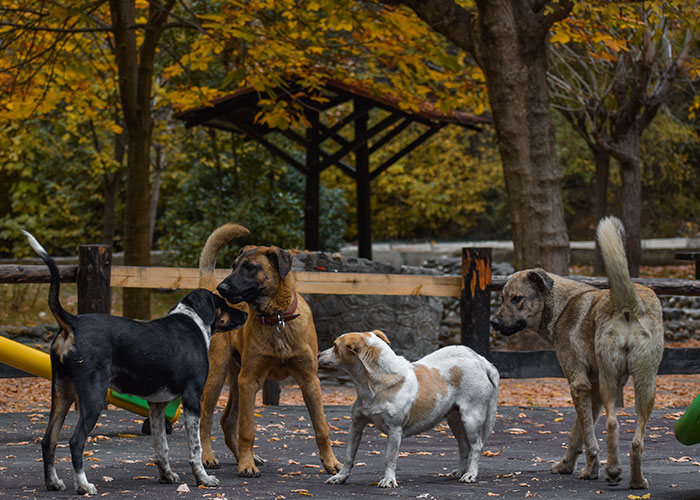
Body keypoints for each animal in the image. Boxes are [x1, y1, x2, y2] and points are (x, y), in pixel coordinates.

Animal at [24, 231, 247, 496]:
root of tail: (73, 322)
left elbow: (161, 447)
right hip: (93, 397)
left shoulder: (157, 404)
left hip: (61, 394)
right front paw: (203, 478)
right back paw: (83, 486)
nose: (245, 314)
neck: (193, 322)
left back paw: (53, 482)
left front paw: (166, 475)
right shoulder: (193, 397)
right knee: (75, 441)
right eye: (223, 303)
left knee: (49, 439)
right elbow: (195, 448)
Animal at [197, 223, 342, 476]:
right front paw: (247, 465)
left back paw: (242, 457)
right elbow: (247, 430)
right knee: (206, 420)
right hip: (217, 375)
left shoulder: (310, 381)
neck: (277, 318)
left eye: (249, 267)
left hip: (236, 380)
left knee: (227, 420)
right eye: (233, 266)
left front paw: (331, 462)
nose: (222, 287)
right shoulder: (250, 380)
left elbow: (322, 427)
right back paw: (210, 457)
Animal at [320, 330, 500, 486]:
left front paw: (389, 480)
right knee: (464, 447)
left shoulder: (394, 430)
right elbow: (349, 455)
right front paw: (340, 477)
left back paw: (471, 474)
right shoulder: (356, 425)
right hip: (455, 421)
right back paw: (461, 472)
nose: (318, 355)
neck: (373, 384)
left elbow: (389, 458)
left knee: (476, 447)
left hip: (471, 418)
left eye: (334, 345)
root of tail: (480, 360)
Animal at [490, 218, 664, 488]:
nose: (494, 323)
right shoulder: (593, 389)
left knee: (612, 424)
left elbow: (588, 438)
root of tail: (629, 303)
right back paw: (636, 480)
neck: (560, 306)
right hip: (645, 384)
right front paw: (566, 465)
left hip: (611, 380)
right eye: (503, 298)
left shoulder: (578, 384)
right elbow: (577, 434)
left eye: (516, 299)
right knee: (636, 441)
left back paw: (613, 470)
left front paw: (590, 470)